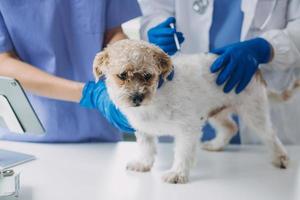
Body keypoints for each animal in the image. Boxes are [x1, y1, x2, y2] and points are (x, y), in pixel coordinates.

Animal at [93, 39, 288, 184]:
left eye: (148, 76)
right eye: (122, 75)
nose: (137, 98)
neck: (155, 99)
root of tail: (254, 66)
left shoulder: (188, 129)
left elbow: (183, 153)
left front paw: (177, 174)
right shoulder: (144, 130)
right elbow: (147, 148)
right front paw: (143, 164)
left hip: (253, 111)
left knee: (270, 134)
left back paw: (280, 158)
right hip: (216, 112)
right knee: (230, 127)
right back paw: (216, 145)